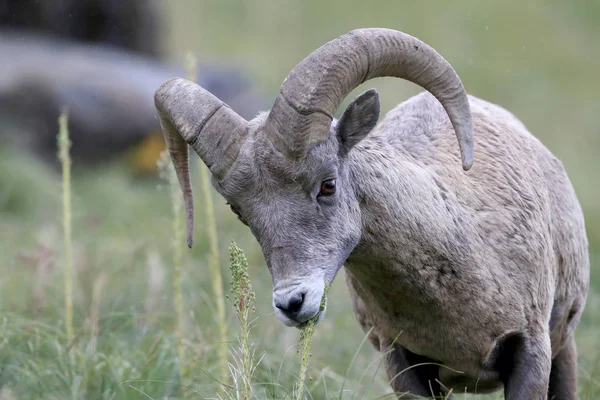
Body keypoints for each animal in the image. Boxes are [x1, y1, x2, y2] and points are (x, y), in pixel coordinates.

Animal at [152, 28, 588, 400]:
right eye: (240, 210)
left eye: (328, 184)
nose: (293, 303)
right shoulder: (404, 365)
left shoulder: (530, 352)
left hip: (563, 350)